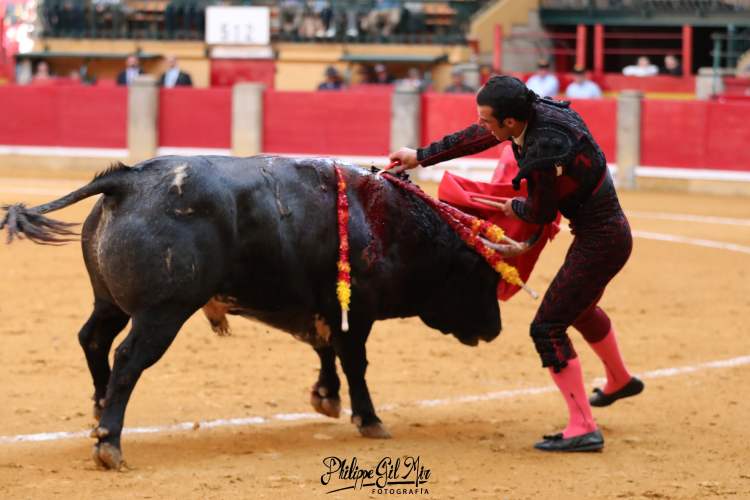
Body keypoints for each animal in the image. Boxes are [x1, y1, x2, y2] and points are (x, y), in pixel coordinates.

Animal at [1, 155, 504, 470]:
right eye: (480, 277)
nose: (497, 329)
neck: (390, 223)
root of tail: (126, 180)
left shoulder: (318, 305)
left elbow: (325, 349)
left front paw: (326, 397)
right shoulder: (354, 311)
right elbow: (355, 363)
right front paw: (370, 420)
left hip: (108, 301)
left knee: (93, 339)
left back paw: (99, 408)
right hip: (161, 313)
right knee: (127, 358)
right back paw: (109, 443)